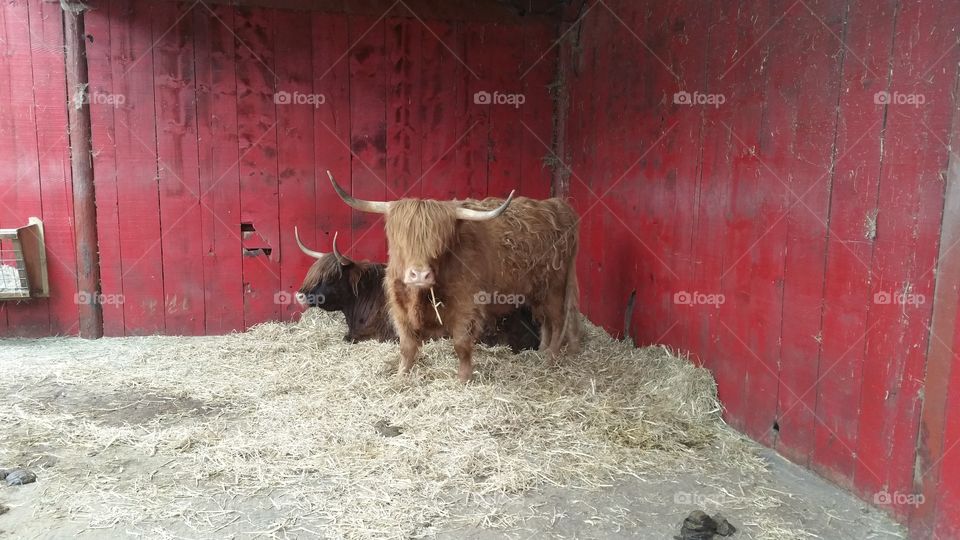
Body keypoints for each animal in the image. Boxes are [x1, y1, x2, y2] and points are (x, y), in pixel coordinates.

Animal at [327, 171, 581, 382]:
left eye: (439, 244)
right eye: (401, 240)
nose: (419, 274)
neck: (421, 295)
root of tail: (558, 206)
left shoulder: (467, 306)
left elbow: (461, 345)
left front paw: (463, 379)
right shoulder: (399, 306)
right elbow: (407, 346)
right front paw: (401, 376)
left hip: (554, 288)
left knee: (558, 321)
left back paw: (550, 359)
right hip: (537, 291)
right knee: (545, 322)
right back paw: (543, 351)